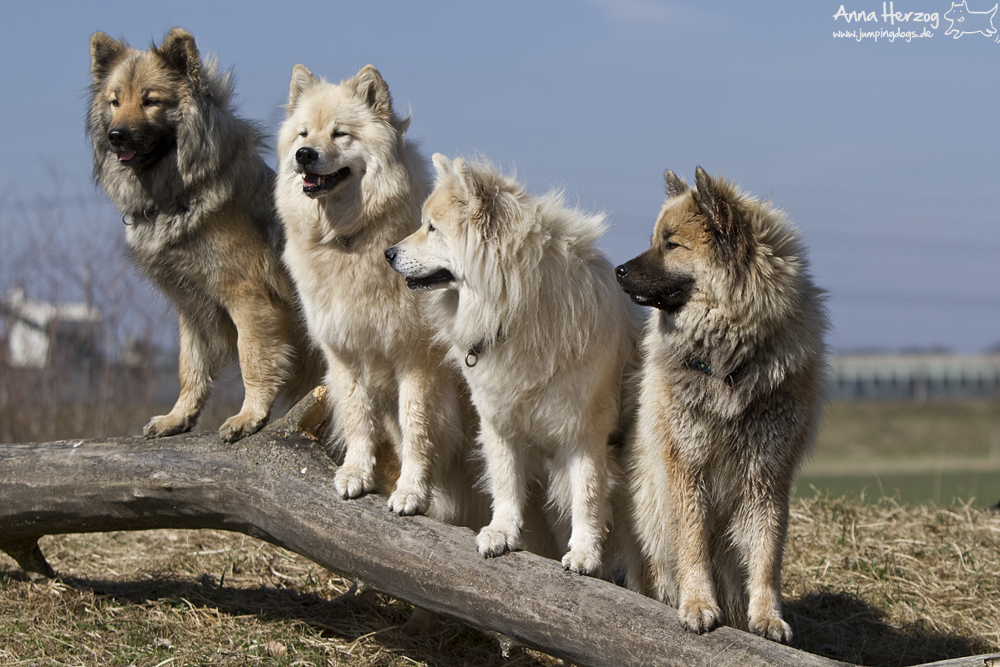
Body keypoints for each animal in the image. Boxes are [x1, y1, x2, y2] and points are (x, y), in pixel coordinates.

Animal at [616, 167, 828, 640]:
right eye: (655, 238)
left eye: (671, 244)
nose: (618, 269)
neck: (728, 361)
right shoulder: (686, 467)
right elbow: (692, 543)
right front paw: (697, 604)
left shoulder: (767, 475)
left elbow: (767, 554)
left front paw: (768, 616)